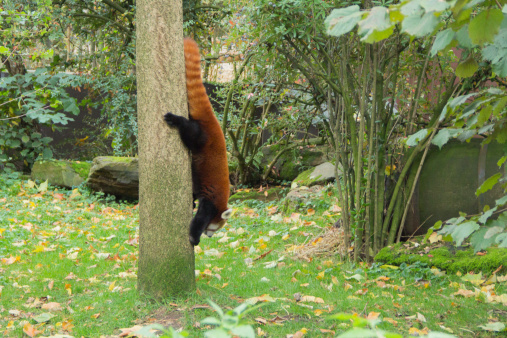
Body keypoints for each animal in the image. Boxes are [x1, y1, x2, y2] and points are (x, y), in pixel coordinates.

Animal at [165, 37, 232, 246]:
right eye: (214, 229)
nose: (209, 236)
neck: (221, 202)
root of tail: (214, 122)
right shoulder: (211, 200)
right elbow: (200, 217)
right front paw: (194, 238)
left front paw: (192, 199)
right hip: (201, 138)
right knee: (189, 131)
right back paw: (175, 119)